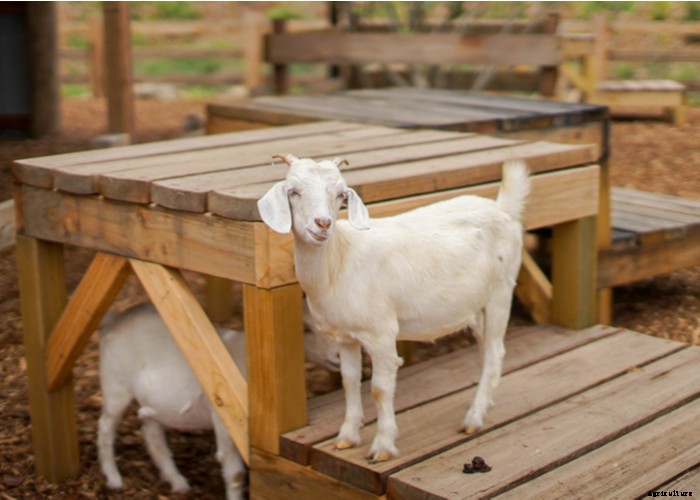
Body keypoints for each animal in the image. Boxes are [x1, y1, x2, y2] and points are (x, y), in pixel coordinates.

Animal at [97, 302, 340, 497]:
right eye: (305, 329)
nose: (338, 355)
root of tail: (115, 318)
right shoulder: (225, 417)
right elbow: (235, 473)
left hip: (151, 401)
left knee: (151, 432)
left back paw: (177, 482)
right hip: (115, 386)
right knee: (106, 428)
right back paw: (114, 479)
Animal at [258, 154, 529, 462]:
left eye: (341, 194)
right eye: (293, 191)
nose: (323, 223)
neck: (339, 259)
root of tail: (503, 208)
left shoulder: (381, 333)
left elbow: (379, 388)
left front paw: (383, 446)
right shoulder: (345, 336)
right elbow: (350, 381)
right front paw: (347, 437)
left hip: (501, 291)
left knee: (495, 353)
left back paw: (473, 418)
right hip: (479, 306)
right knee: (487, 352)